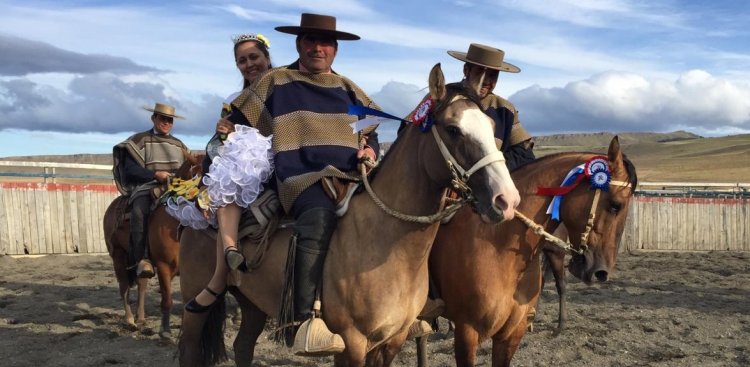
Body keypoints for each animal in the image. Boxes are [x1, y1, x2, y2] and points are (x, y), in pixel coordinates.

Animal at [103, 152, 204, 340]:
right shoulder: (164, 266)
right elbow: (167, 300)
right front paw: (165, 331)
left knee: (141, 285)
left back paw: (141, 318)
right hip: (118, 256)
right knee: (124, 287)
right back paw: (130, 320)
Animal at [177, 64, 524, 367]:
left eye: (492, 128)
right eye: (453, 129)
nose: (506, 200)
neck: (387, 243)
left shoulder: (392, 340)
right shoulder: (352, 343)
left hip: (252, 302)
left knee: (243, 346)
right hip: (196, 301)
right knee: (190, 349)